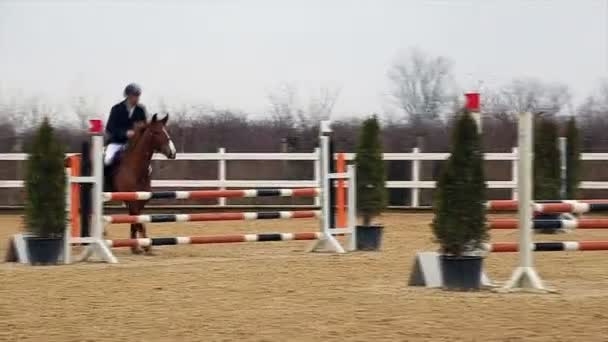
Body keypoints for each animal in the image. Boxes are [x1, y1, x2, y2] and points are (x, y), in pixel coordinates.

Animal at [110, 113, 176, 252]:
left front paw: (136, 247)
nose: (173, 153)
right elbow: (138, 222)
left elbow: (136, 221)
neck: (135, 168)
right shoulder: (131, 201)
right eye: (156, 132)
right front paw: (144, 246)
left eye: (167, 131)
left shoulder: (140, 200)